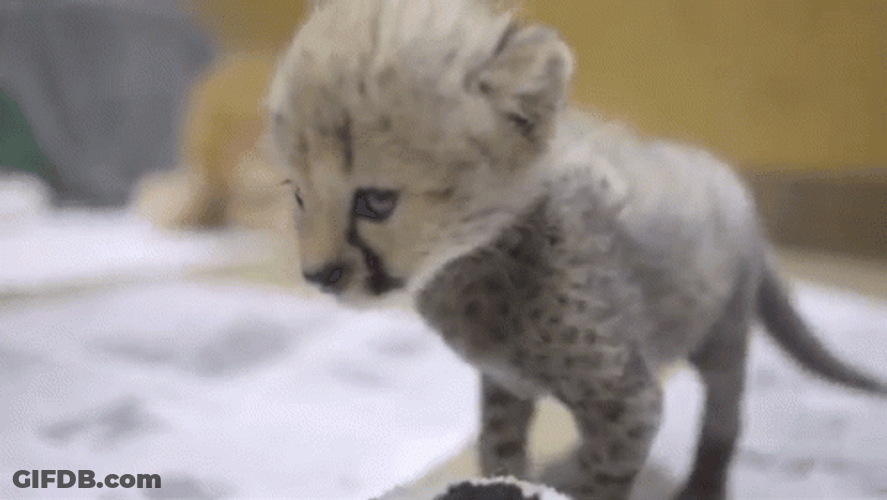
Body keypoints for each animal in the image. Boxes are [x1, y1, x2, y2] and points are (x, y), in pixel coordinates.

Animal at [265, 0, 887, 498]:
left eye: (375, 202)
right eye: (297, 194)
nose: (317, 274)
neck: (481, 254)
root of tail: (732, 180)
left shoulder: (628, 400)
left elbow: (602, 480)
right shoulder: (505, 385)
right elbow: (499, 449)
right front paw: (508, 481)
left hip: (723, 330)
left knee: (725, 414)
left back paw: (703, 486)